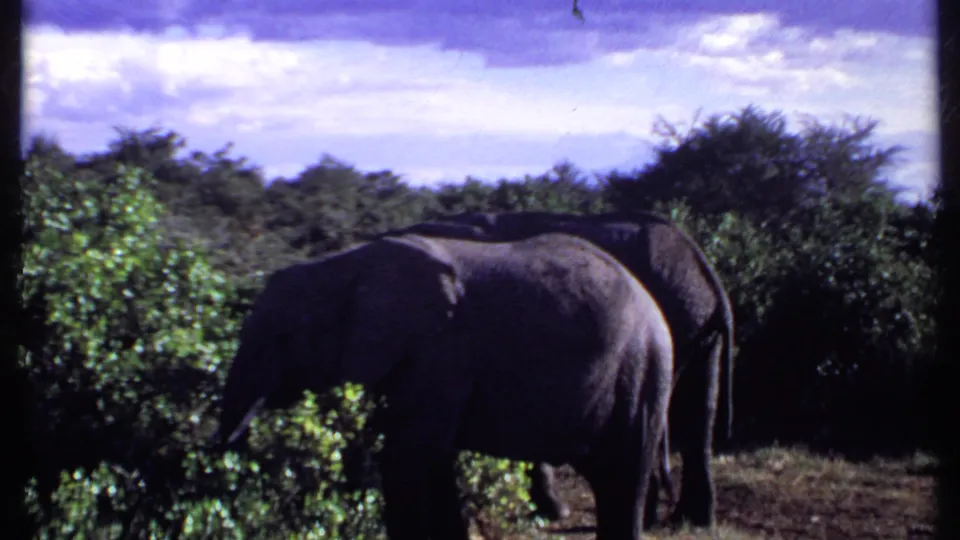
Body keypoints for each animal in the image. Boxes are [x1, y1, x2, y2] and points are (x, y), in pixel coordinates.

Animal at [213, 232, 674, 540]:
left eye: (284, 337)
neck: (343, 267)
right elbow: (431, 460)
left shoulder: (438, 351)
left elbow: (408, 458)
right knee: (606, 475)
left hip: (643, 370)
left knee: (625, 471)